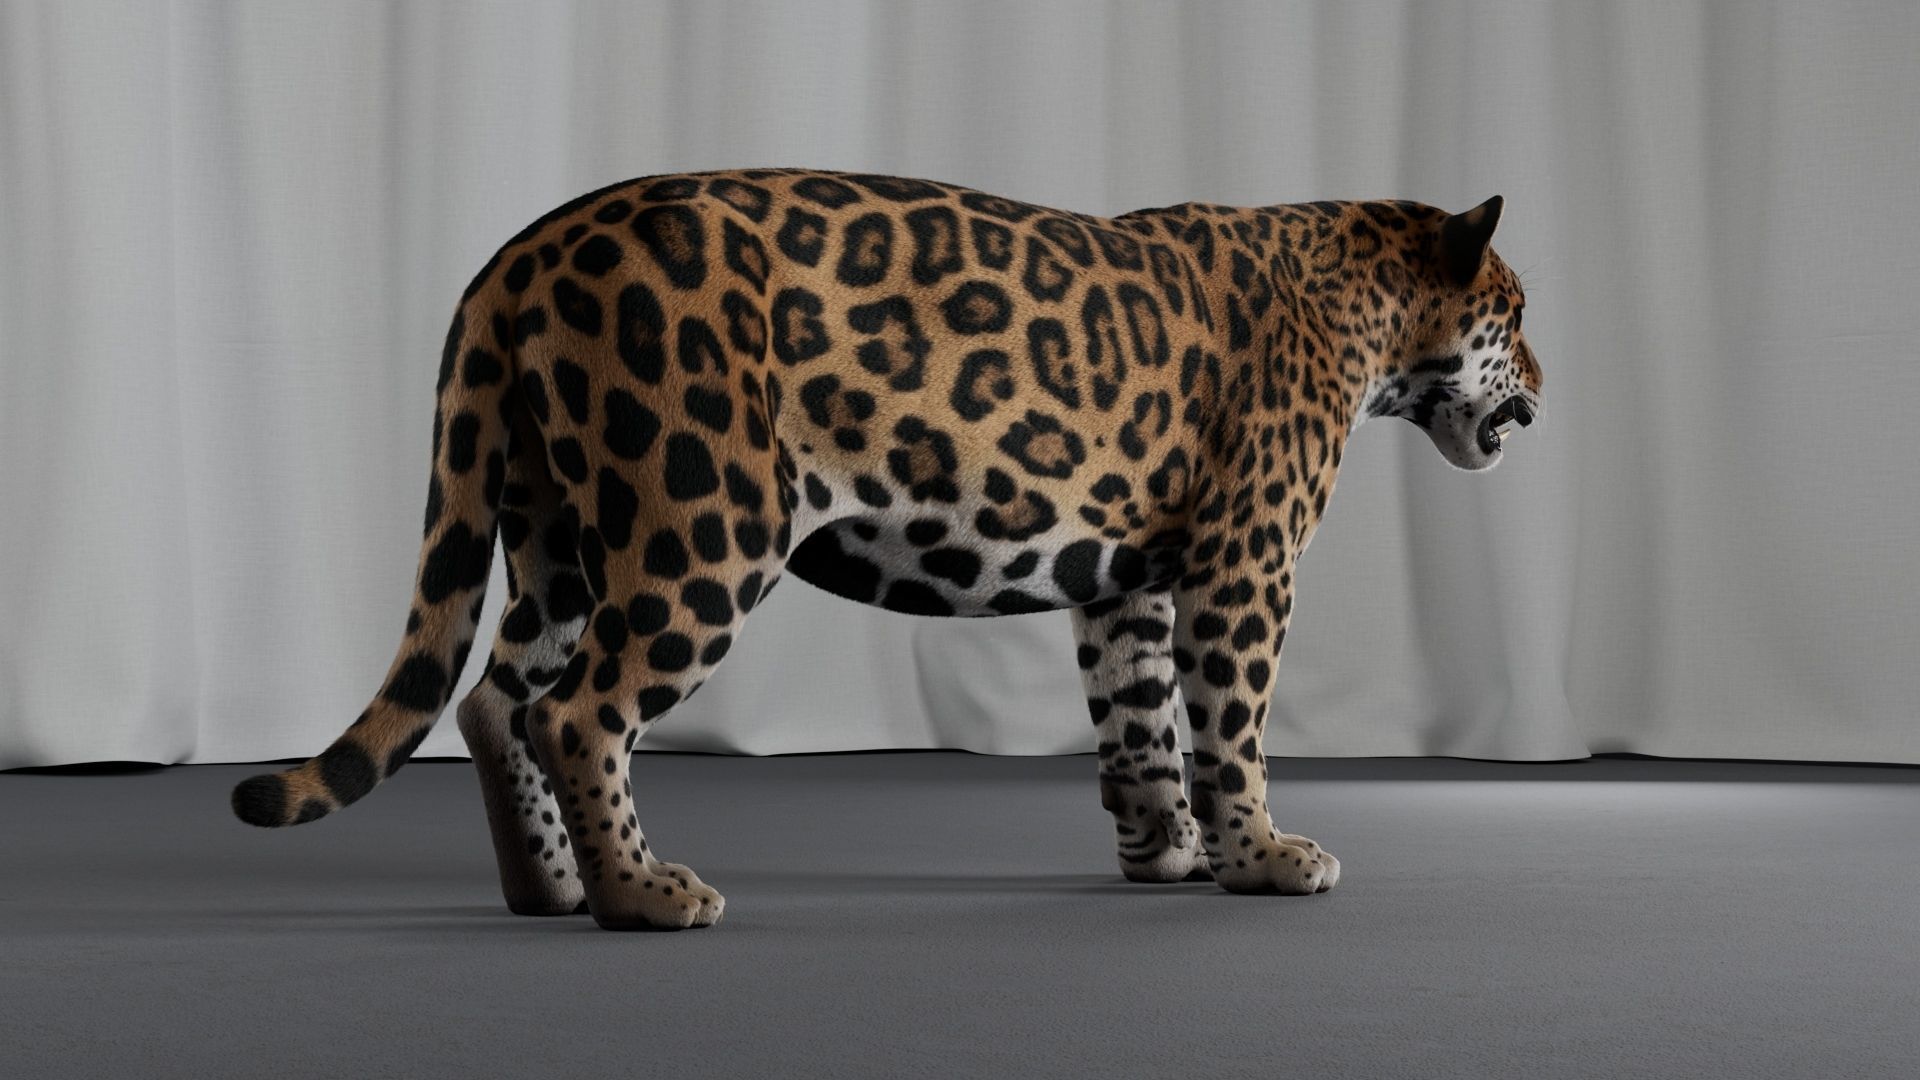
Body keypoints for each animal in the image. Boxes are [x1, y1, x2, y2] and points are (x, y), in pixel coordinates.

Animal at [230, 168, 1543, 930]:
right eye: (1517, 313)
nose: (1541, 385)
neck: (1370, 306)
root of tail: (519, 253)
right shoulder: (1245, 565)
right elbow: (1230, 726)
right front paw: (1264, 856)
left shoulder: (1126, 577)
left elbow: (1135, 723)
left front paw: (1164, 854)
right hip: (702, 518)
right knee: (578, 710)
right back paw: (642, 894)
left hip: (556, 525)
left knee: (495, 699)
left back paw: (544, 888)